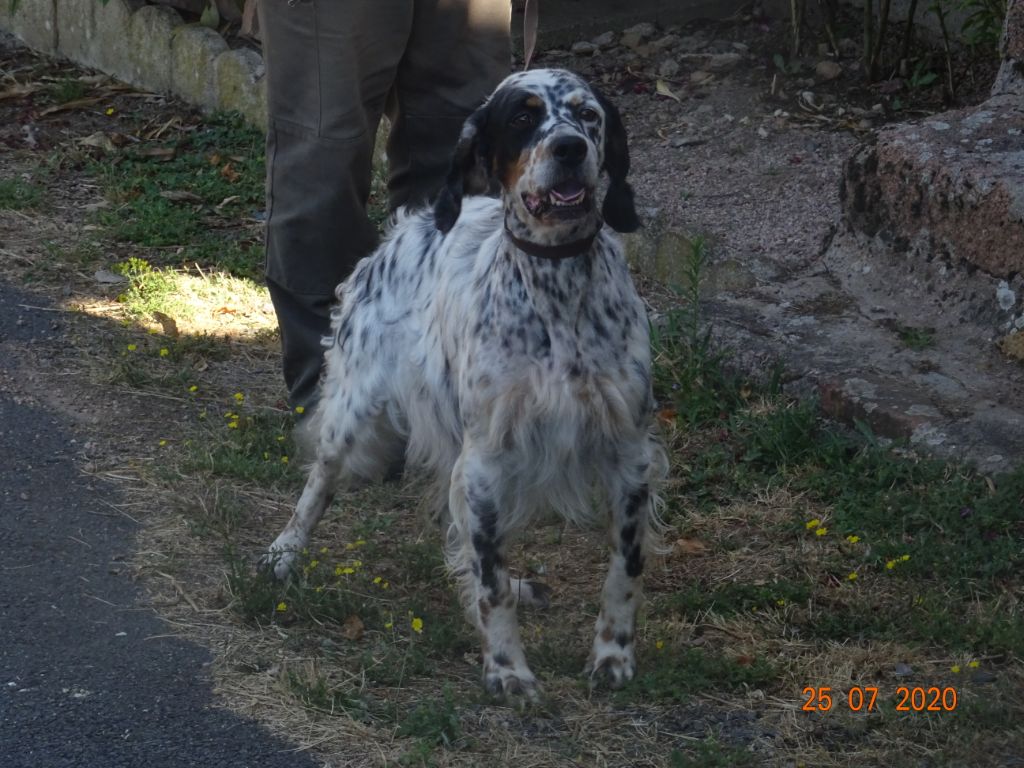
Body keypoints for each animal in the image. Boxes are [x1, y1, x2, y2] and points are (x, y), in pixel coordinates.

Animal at [266, 69, 663, 700]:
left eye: (588, 115)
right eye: (523, 117)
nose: (569, 148)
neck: (557, 287)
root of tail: (408, 225)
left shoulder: (629, 451)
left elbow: (624, 568)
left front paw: (612, 655)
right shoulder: (486, 458)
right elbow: (491, 582)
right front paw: (507, 668)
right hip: (354, 411)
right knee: (319, 486)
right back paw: (283, 553)